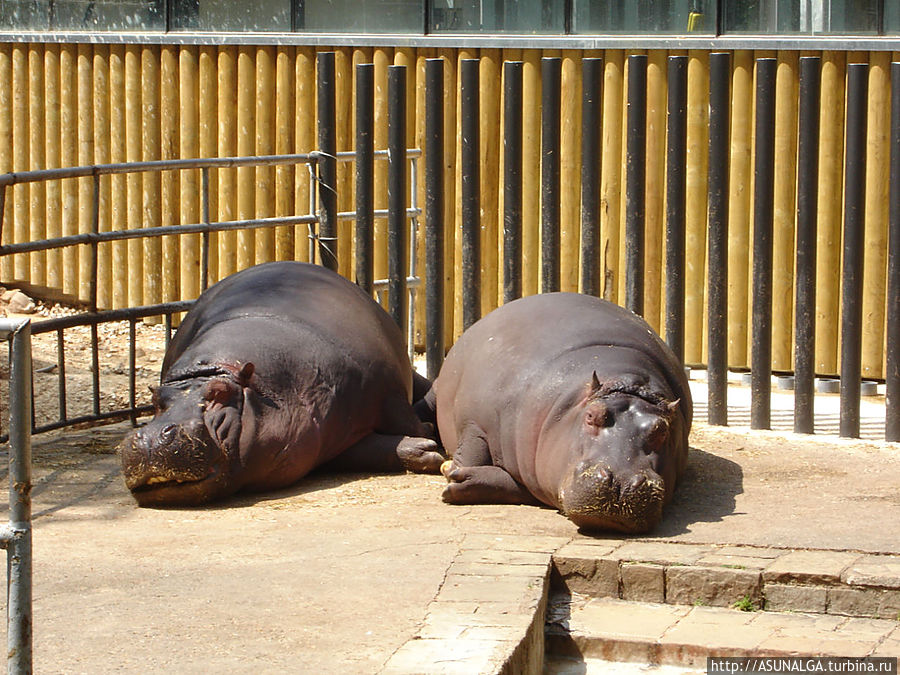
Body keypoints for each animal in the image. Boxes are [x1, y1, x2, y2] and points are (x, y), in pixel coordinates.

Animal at [119, 262, 442, 504]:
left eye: (220, 393)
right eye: (155, 399)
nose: (151, 437)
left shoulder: (388, 395)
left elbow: (406, 424)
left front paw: (429, 438)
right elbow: (366, 450)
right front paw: (424, 448)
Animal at [426, 294, 692, 536]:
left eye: (661, 430)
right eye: (591, 416)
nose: (622, 482)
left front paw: (457, 477)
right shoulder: (476, 421)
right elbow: (472, 447)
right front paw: (452, 472)